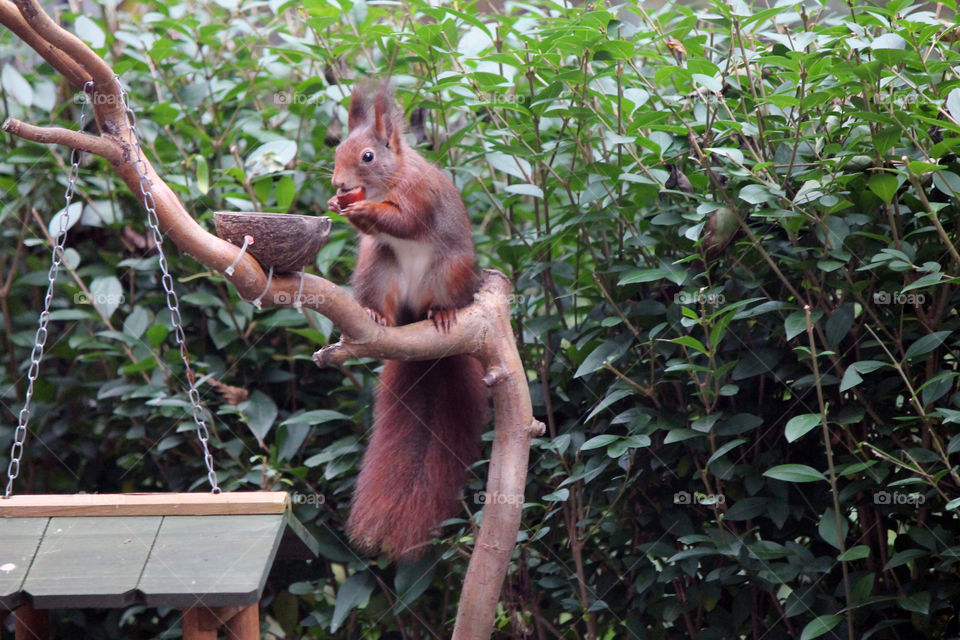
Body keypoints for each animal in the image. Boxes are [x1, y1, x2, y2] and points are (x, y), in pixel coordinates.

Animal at [326, 80, 488, 560]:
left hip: (449, 271)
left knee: (440, 298)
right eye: (336, 149)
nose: (338, 183)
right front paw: (337, 204)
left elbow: (405, 221)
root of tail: (415, 317)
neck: (391, 179)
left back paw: (444, 313)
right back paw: (376, 314)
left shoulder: (420, 199)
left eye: (367, 157)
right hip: (378, 269)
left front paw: (363, 211)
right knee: (386, 298)